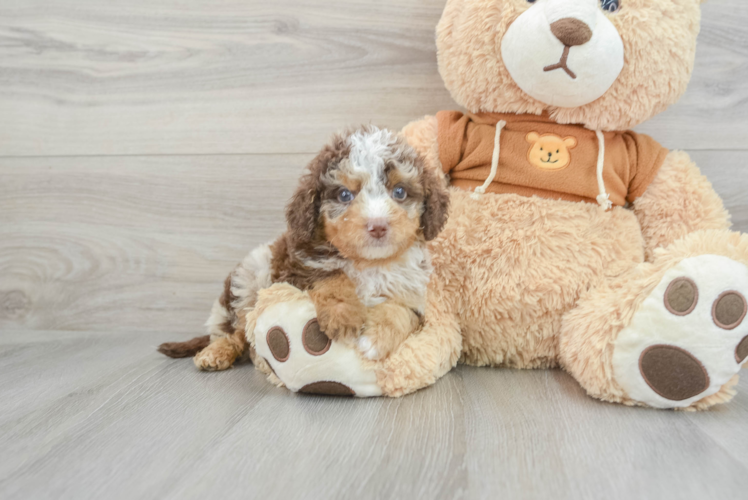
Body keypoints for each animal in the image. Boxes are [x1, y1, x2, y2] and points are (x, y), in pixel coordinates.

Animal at [158, 126, 448, 372]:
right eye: (344, 195)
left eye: (399, 192)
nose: (378, 226)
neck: (369, 264)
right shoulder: (298, 270)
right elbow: (332, 276)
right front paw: (343, 317)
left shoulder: (414, 296)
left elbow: (400, 311)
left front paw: (376, 339)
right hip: (251, 275)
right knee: (238, 330)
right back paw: (215, 352)